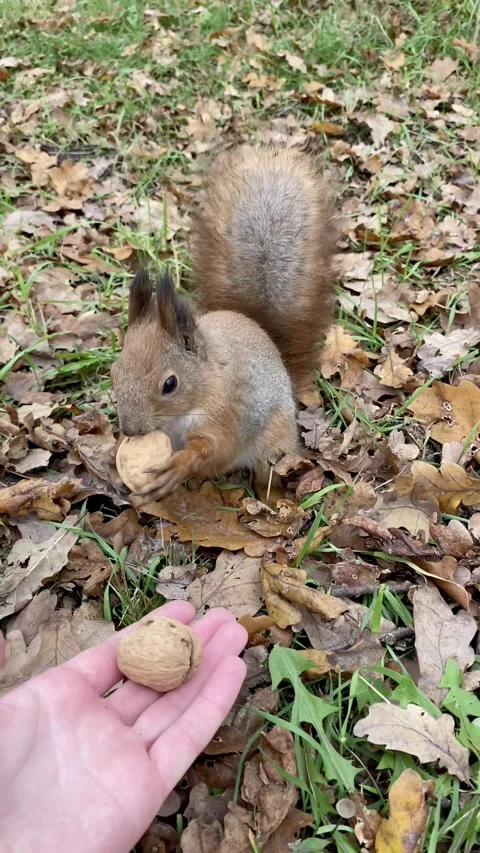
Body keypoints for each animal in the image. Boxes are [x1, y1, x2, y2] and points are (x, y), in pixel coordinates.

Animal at [111, 144, 337, 505]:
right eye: (114, 373)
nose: (130, 430)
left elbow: (215, 450)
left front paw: (178, 468)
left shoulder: (226, 412)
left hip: (273, 442)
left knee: (267, 473)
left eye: (170, 384)